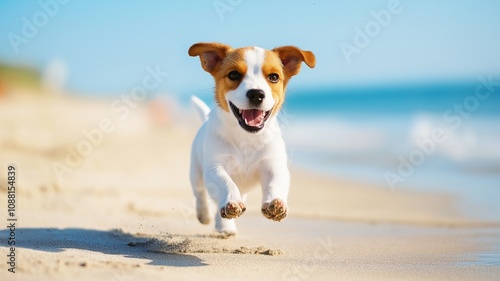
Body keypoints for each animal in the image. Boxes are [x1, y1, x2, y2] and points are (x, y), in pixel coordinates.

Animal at [188, 42, 316, 234]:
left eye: (274, 77)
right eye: (233, 75)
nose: (256, 93)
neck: (246, 138)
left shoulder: (273, 165)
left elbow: (275, 183)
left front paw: (275, 203)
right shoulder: (214, 167)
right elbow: (225, 182)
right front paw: (231, 200)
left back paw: (225, 227)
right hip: (196, 171)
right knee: (200, 193)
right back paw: (206, 215)